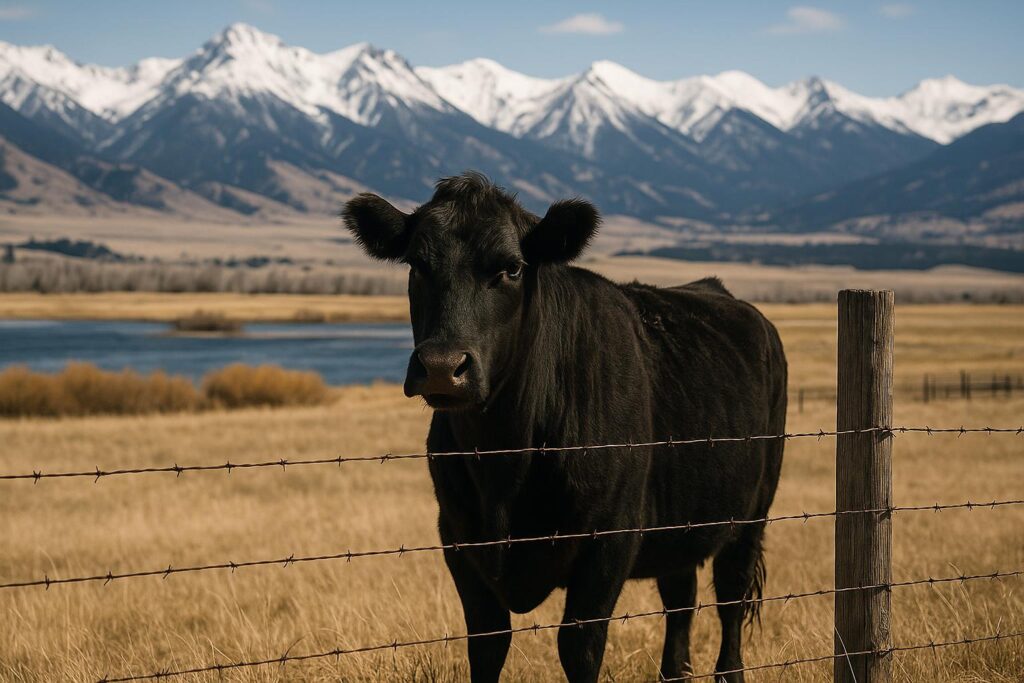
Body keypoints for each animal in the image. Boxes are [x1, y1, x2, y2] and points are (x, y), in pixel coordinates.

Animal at [343, 172, 787, 683]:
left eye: (512, 268)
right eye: (416, 264)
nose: (441, 367)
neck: (504, 465)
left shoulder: (610, 541)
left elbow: (580, 647)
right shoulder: (458, 537)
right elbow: (487, 645)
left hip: (751, 515)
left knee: (731, 600)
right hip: (682, 519)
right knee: (680, 600)